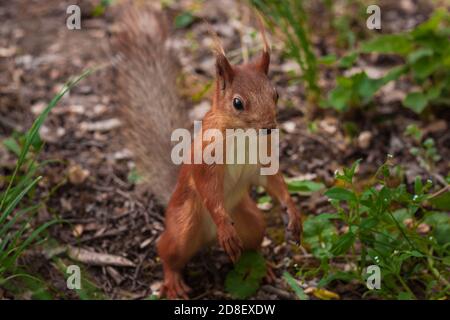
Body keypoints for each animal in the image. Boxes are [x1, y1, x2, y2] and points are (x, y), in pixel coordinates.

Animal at [114, 5, 302, 300]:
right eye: (237, 103)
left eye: (276, 95)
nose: (269, 128)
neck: (243, 137)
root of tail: (208, 239)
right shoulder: (206, 161)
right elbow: (209, 191)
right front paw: (224, 224)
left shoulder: (263, 162)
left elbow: (275, 183)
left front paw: (293, 212)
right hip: (183, 225)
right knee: (167, 252)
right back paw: (175, 280)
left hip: (250, 220)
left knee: (251, 245)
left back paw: (264, 267)